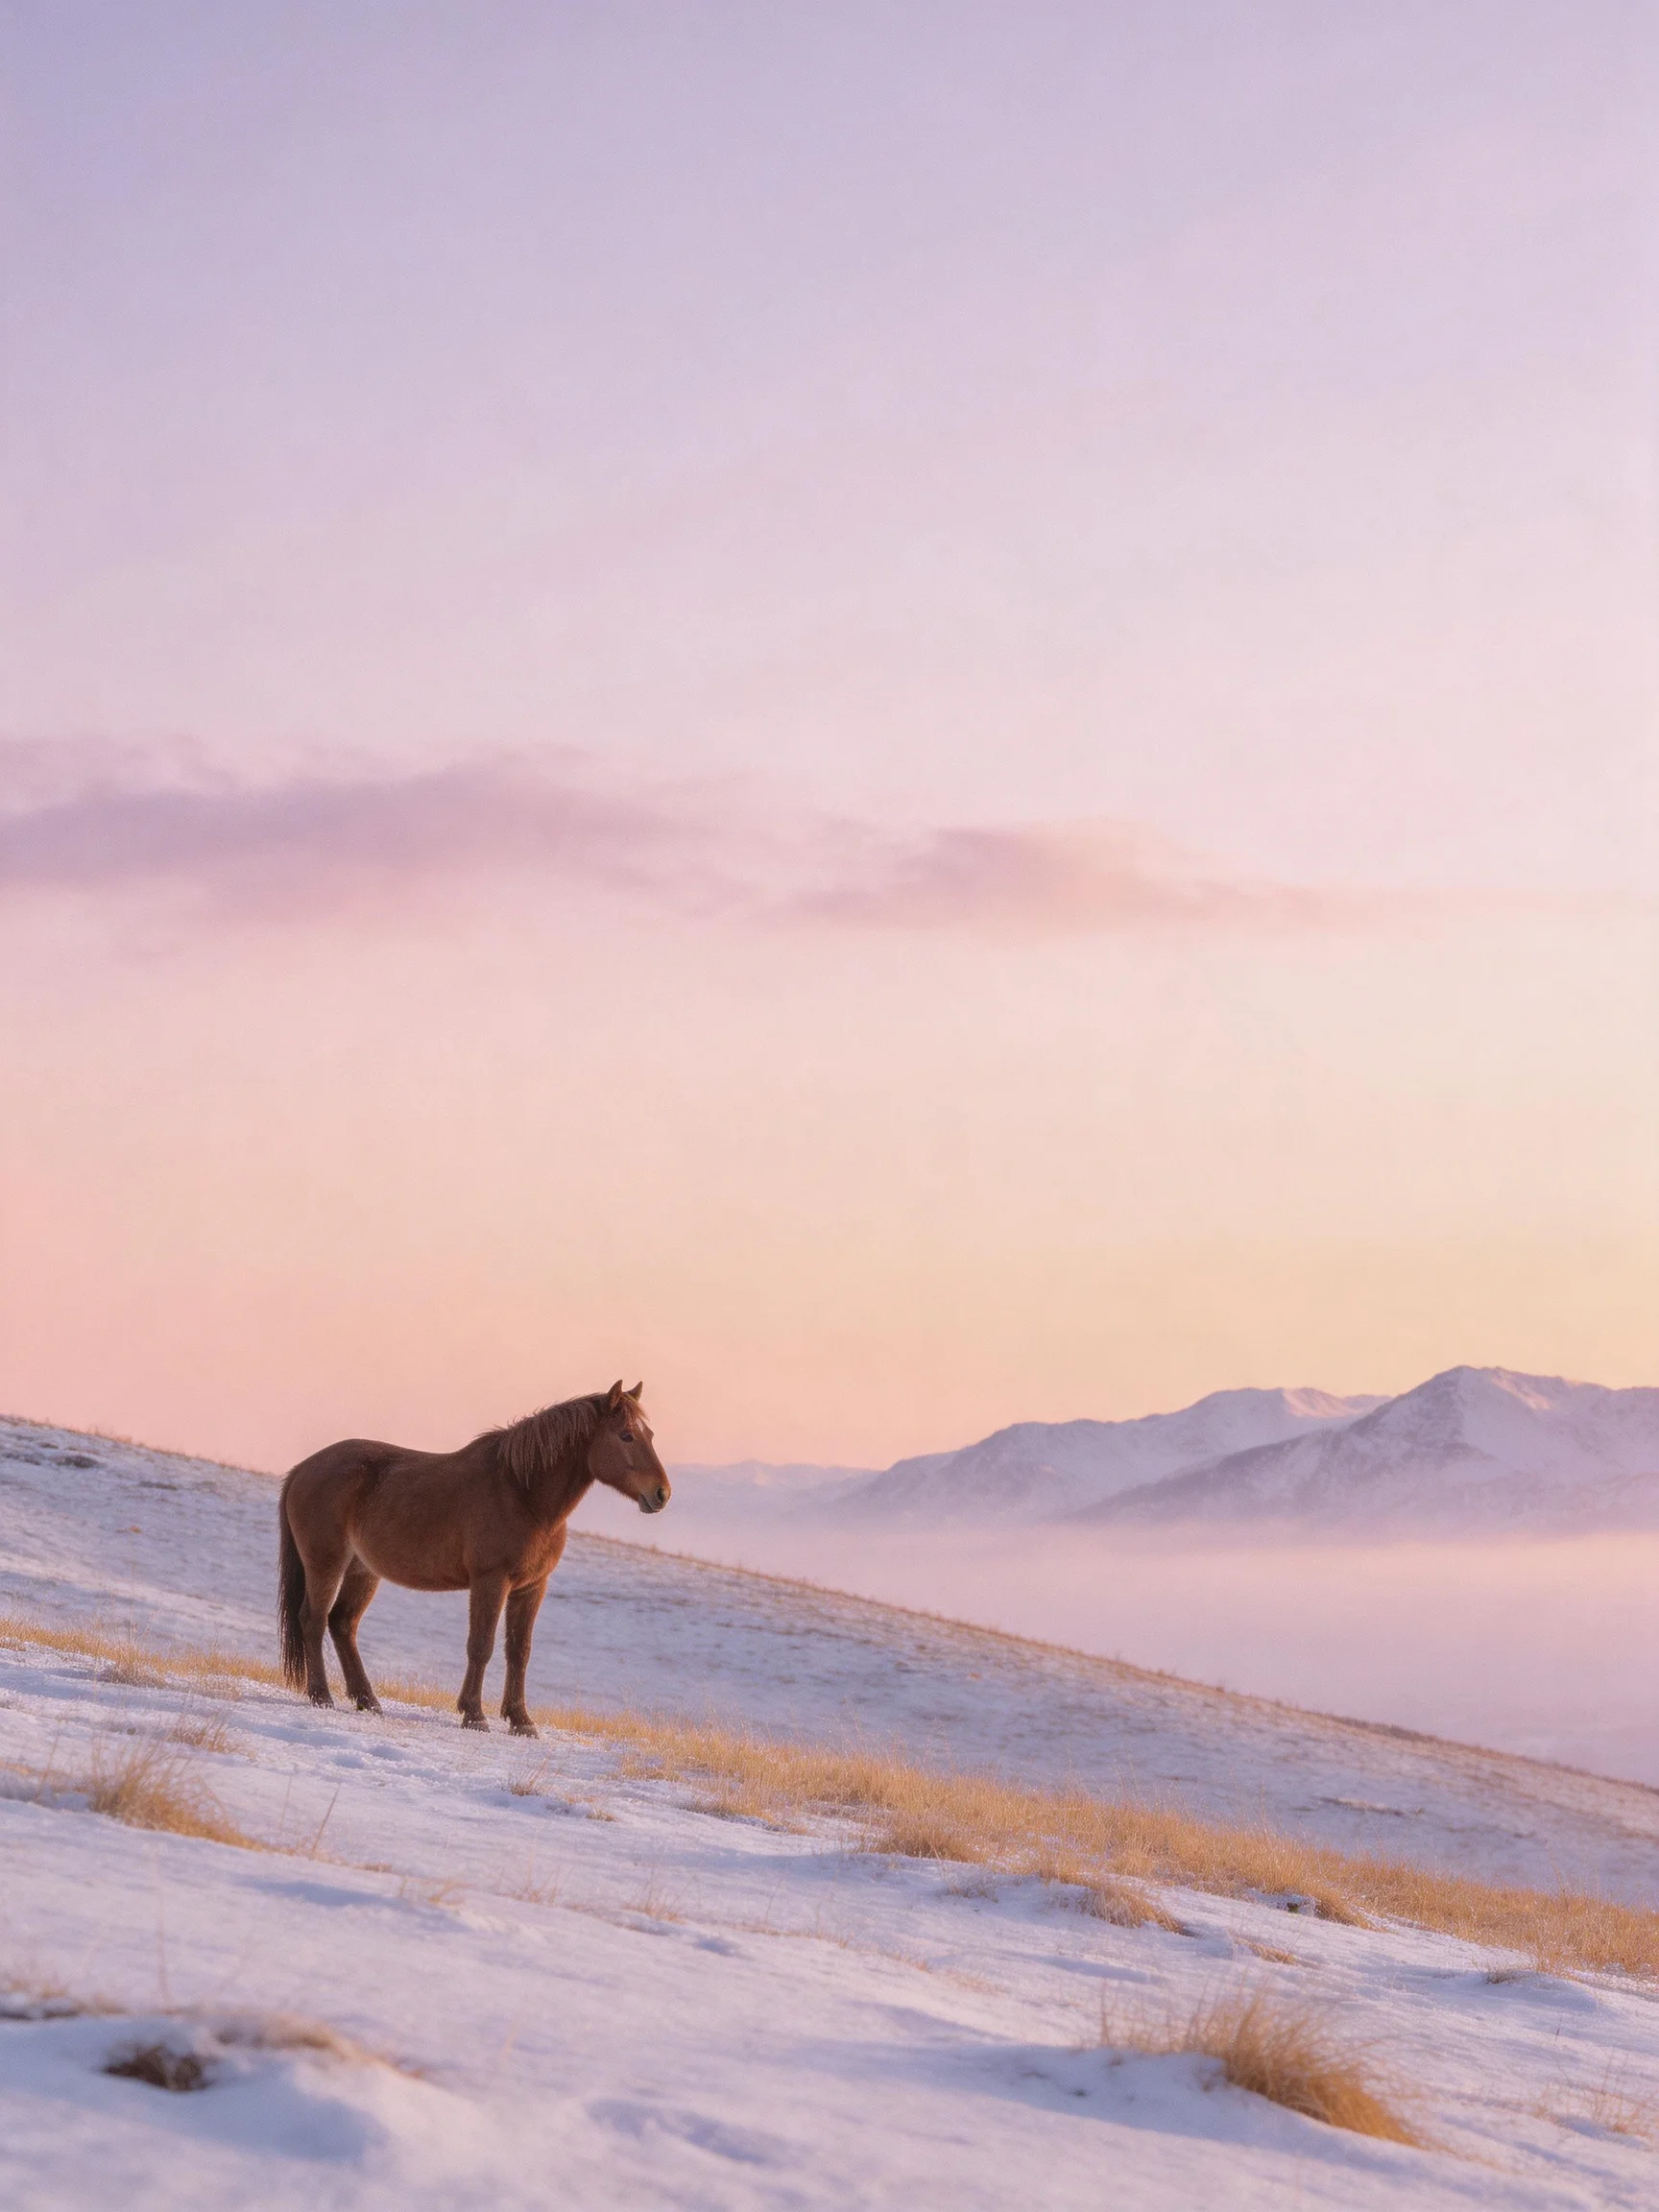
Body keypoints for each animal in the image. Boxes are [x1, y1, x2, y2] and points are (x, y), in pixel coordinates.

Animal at [277, 1381, 669, 1735]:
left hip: (363, 1572)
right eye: (626, 1436)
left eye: (649, 1434)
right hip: (326, 1563)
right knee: (313, 1620)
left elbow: (519, 1651)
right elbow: (481, 1646)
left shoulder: (532, 1588)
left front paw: (521, 1721)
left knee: (342, 1624)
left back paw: (368, 1701)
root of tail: (301, 1469)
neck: (522, 1493)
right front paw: (475, 1715)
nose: (662, 1493)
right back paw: (322, 1696)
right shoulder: (490, 1581)